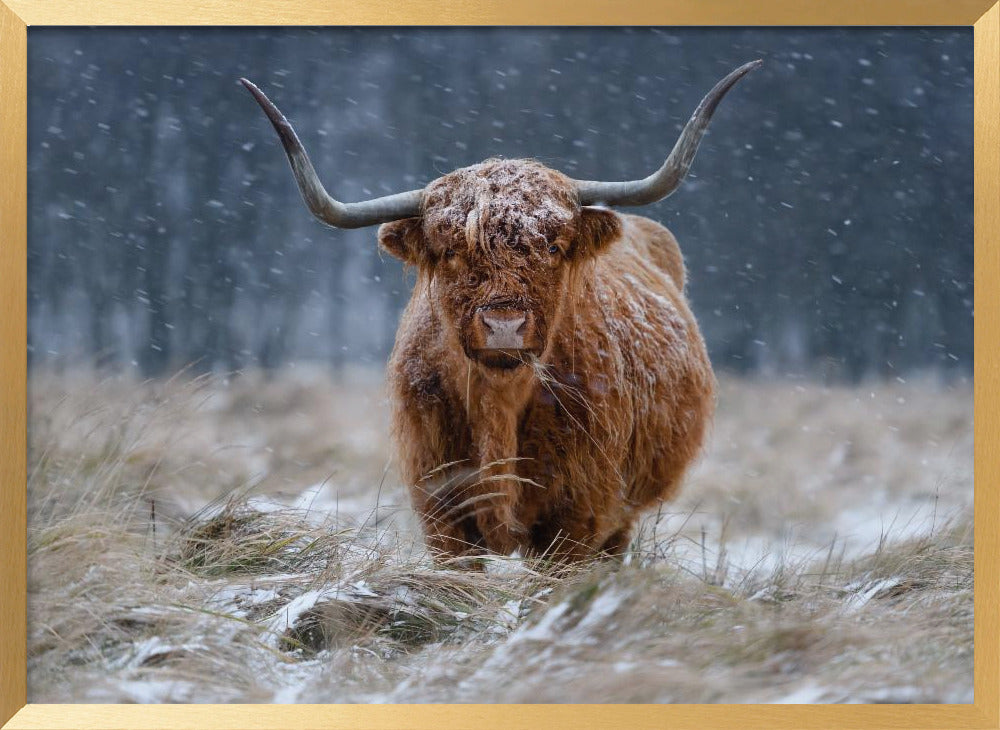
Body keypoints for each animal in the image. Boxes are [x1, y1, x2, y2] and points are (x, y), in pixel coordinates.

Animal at [241, 60, 760, 563]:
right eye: (452, 251)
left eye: (552, 246)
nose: (504, 325)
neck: (499, 406)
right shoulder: (441, 510)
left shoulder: (579, 515)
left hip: (623, 516)